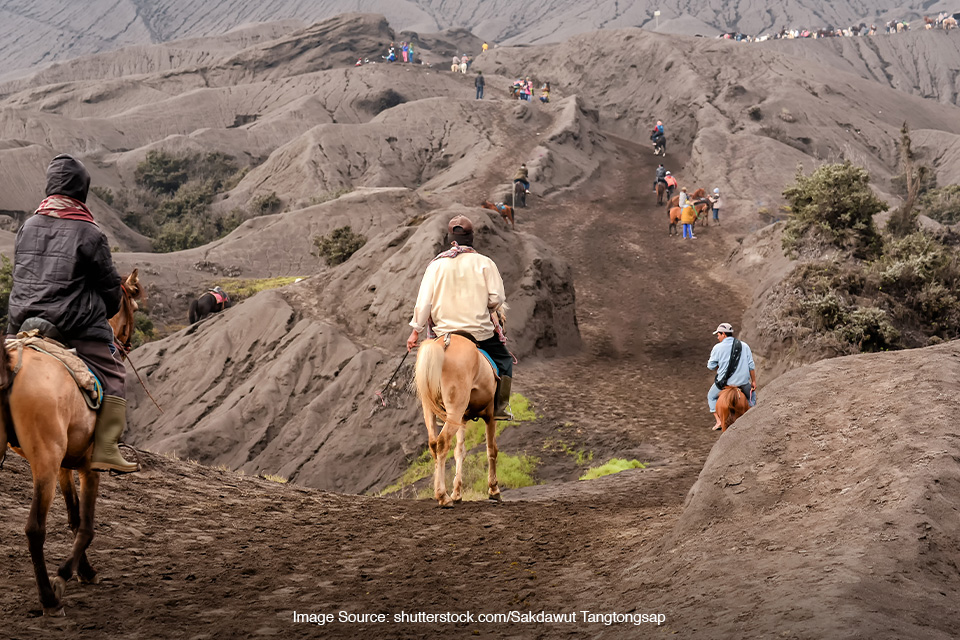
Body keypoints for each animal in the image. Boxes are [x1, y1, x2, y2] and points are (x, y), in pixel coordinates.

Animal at [0, 278, 142, 616]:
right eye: (134, 306)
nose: (126, 344)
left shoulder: (66, 465)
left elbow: (75, 519)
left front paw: (84, 570)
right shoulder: (89, 467)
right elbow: (87, 526)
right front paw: (64, 575)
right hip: (45, 463)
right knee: (34, 529)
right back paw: (49, 599)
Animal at [410, 320, 506, 504]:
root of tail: (444, 343)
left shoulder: (461, 419)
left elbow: (459, 452)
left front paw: (457, 492)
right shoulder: (490, 416)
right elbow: (491, 449)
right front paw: (494, 489)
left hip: (432, 410)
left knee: (433, 444)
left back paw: (442, 492)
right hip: (455, 409)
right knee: (442, 443)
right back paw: (442, 496)